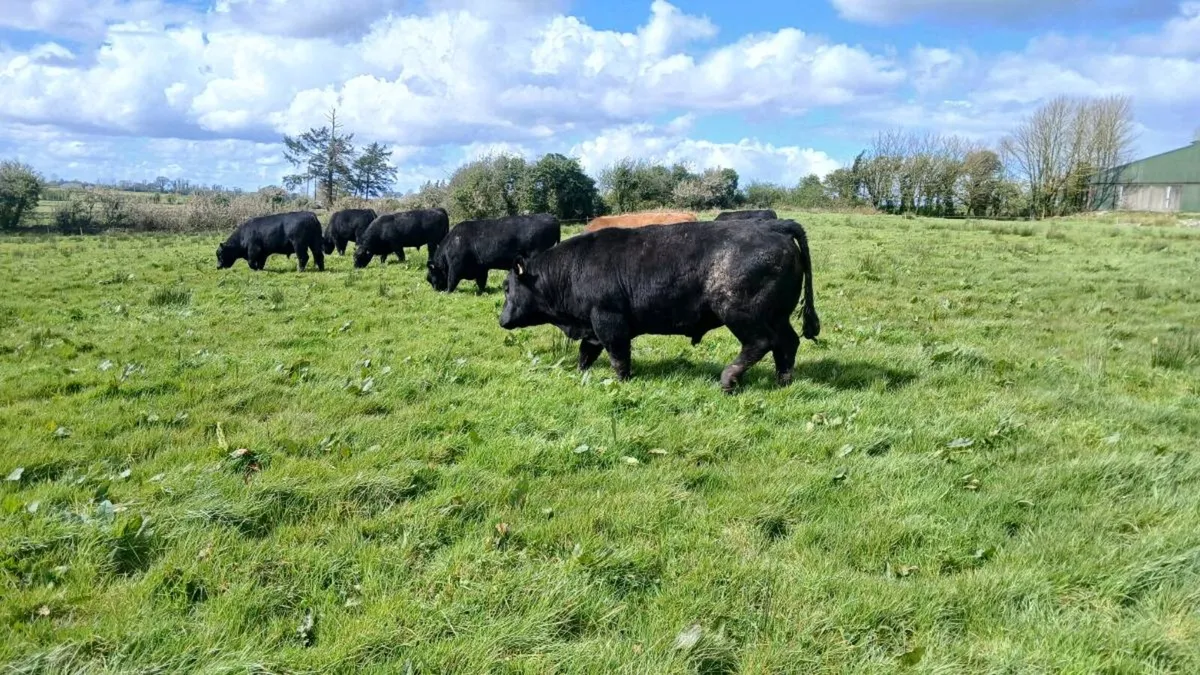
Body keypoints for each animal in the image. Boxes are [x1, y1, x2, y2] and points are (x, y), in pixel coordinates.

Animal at [427, 214, 561, 294]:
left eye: (431, 275)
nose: (436, 289)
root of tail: (552, 218)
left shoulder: (455, 267)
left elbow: (452, 280)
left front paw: (447, 292)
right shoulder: (481, 268)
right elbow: (481, 282)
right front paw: (481, 292)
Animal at [498, 219, 819, 393]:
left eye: (506, 287)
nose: (502, 320)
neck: (572, 269)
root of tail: (776, 226)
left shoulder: (609, 322)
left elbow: (618, 357)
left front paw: (622, 381)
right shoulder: (592, 327)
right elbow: (586, 355)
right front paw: (582, 375)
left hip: (740, 313)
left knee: (761, 342)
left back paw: (728, 379)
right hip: (778, 316)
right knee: (787, 343)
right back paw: (783, 380)